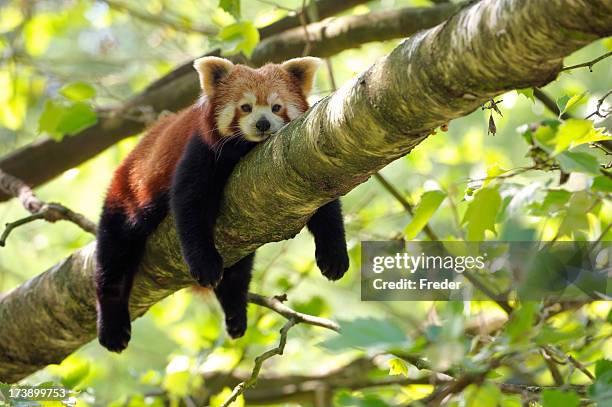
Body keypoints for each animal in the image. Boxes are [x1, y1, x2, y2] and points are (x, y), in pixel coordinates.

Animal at [94, 57, 350, 354]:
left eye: (276, 107)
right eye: (245, 107)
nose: (263, 123)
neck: (247, 150)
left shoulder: (305, 163)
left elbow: (326, 208)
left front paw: (334, 256)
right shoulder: (201, 150)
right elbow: (189, 206)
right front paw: (205, 264)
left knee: (238, 271)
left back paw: (235, 311)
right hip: (128, 196)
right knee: (114, 255)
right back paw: (112, 326)